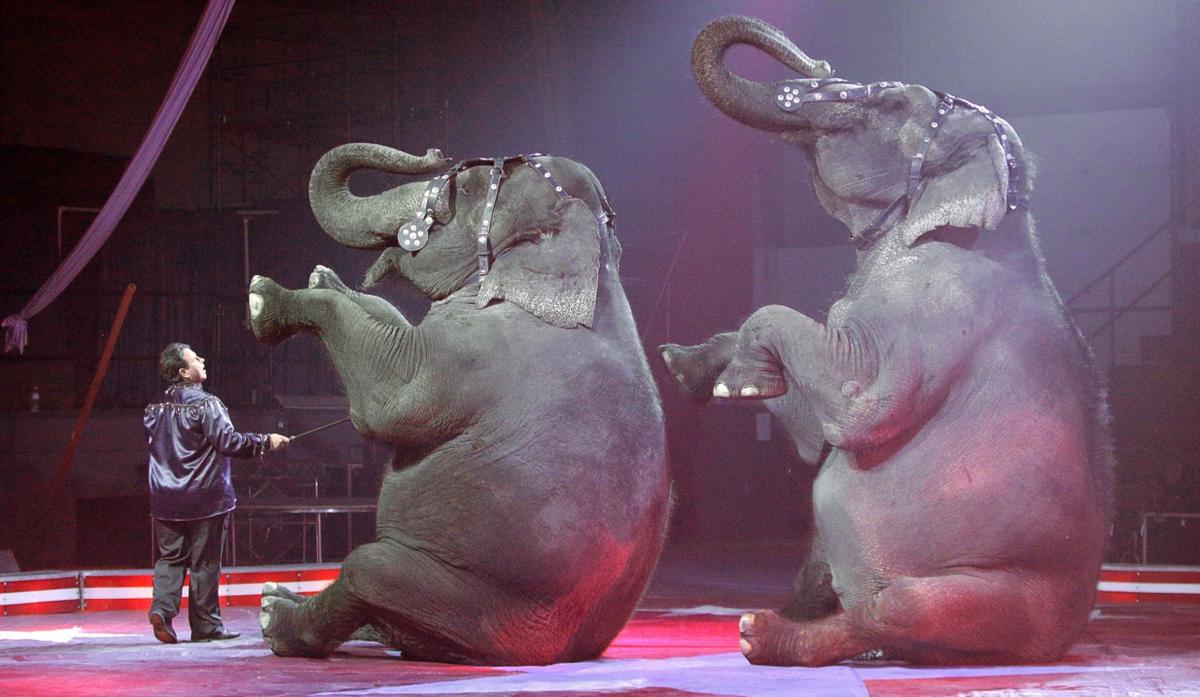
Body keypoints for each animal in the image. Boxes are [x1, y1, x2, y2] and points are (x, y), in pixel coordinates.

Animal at [248, 143, 670, 664]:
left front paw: (264, 298)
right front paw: (324, 277)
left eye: (465, 191)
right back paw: (283, 599)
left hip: (476, 605)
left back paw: (273, 615)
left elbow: (387, 396)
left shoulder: (479, 354)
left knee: (366, 570)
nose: (434, 152)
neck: (597, 260)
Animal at [658, 16, 1113, 666]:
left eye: (894, 103)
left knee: (894, 609)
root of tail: (1067, 640)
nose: (816, 64)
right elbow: (814, 431)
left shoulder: (932, 312)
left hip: (1003, 601)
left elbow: (856, 406)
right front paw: (685, 367)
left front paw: (738, 382)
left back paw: (761, 633)